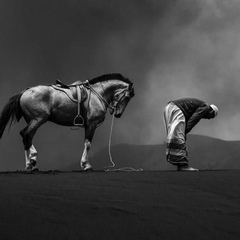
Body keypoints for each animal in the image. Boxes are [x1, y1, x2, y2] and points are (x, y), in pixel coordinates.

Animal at [0, 72, 135, 171]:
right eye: (127, 97)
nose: (118, 114)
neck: (97, 94)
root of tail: (24, 92)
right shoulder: (91, 124)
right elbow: (88, 144)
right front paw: (86, 165)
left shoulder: (89, 125)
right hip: (38, 119)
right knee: (26, 134)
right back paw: (31, 162)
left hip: (33, 120)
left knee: (27, 136)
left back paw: (31, 162)